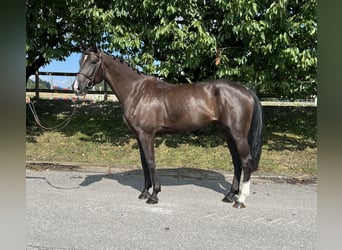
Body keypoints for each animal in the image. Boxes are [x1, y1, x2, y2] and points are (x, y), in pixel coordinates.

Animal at [73, 45, 264, 209]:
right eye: (80, 60)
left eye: (93, 61)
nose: (77, 87)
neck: (137, 92)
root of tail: (246, 90)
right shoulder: (139, 136)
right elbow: (144, 163)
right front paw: (144, 192)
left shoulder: (147, 135)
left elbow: (151, 162)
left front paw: (154, 195)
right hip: (227, 133)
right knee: (237, 162)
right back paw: (230, 195)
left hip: (238, 135)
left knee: (246, 162)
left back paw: (240, 200)